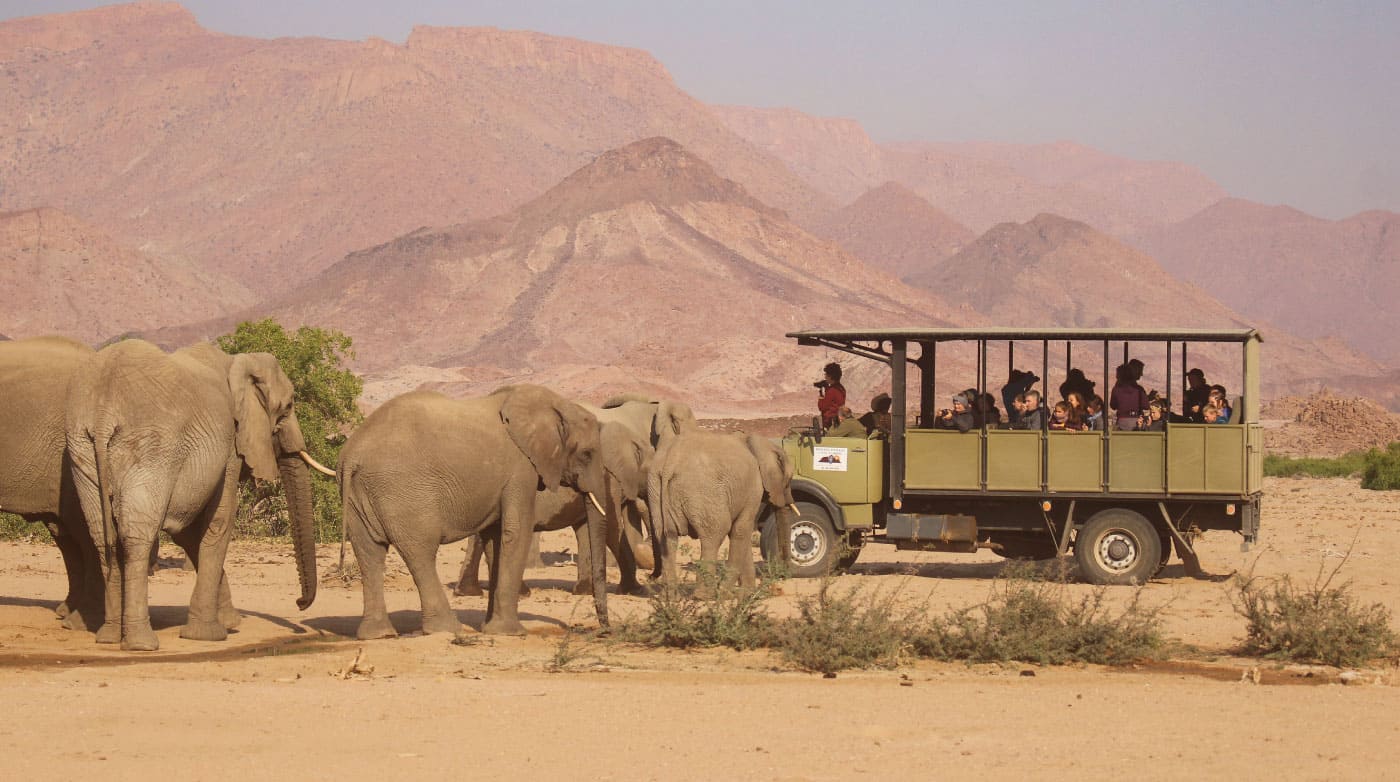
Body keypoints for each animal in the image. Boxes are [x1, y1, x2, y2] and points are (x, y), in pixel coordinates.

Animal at [65, 339, 323, 651]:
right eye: (287, 407)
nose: (299, 603)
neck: (236, 362)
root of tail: (103, 411)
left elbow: (187, 532)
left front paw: (229, 623)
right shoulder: (230, 443)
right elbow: (220, 520)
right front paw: (210, 635)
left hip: (81, 447)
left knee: (103, 536)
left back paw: (109, 636)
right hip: (152, 447)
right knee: (136, 536)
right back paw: (141, 643)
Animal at [338, 384, 608, 639]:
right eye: (587, 454)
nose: (603, 630)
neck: (557, 404)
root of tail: (352, 456)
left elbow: (495, 539)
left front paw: (489, 628)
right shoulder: (520, 469)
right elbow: (516, 531)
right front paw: (510, 632)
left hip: (358, 496)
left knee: (369, 553)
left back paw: (378, 634)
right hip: (403, 493)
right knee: (420, 553)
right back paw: (446, 629)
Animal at [454, 420, 655, 598]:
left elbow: (585, 529)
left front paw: (583, 591)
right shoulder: (609, 479)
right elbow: (612, 526)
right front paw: (637, 590)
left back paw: (467, 592)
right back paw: (522, 593)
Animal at [649, 431, 798, 587]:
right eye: (789, 480)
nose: (784, 575)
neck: (756, 442)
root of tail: (670, 462)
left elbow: (739, 534)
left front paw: (747, 591)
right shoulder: (754, 488)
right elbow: (740, 530)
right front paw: (727, 590)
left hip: (655, 489)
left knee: (667, 538)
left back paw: (671, 592)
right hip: (702, 491)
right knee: (714, 535)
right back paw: (708, 591)